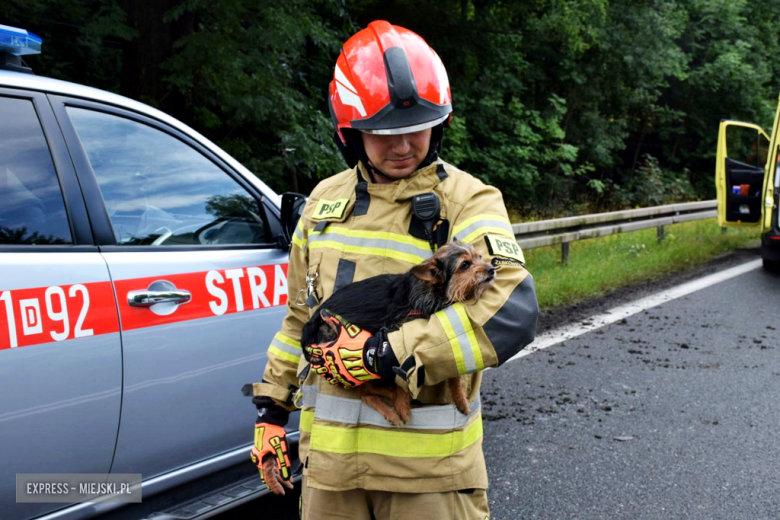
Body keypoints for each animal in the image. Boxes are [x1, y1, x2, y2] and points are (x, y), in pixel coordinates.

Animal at [302, 240, 496, 426]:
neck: (431, 292)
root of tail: (307, 333)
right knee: (367, 393)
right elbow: (401, 380)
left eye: (479, 256)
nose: (492, 269)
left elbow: (454, 374)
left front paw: (461, 400)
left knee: (368, 392)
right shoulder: (395, 340)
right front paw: (402, 407)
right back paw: (392, 409)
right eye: (465, 264)